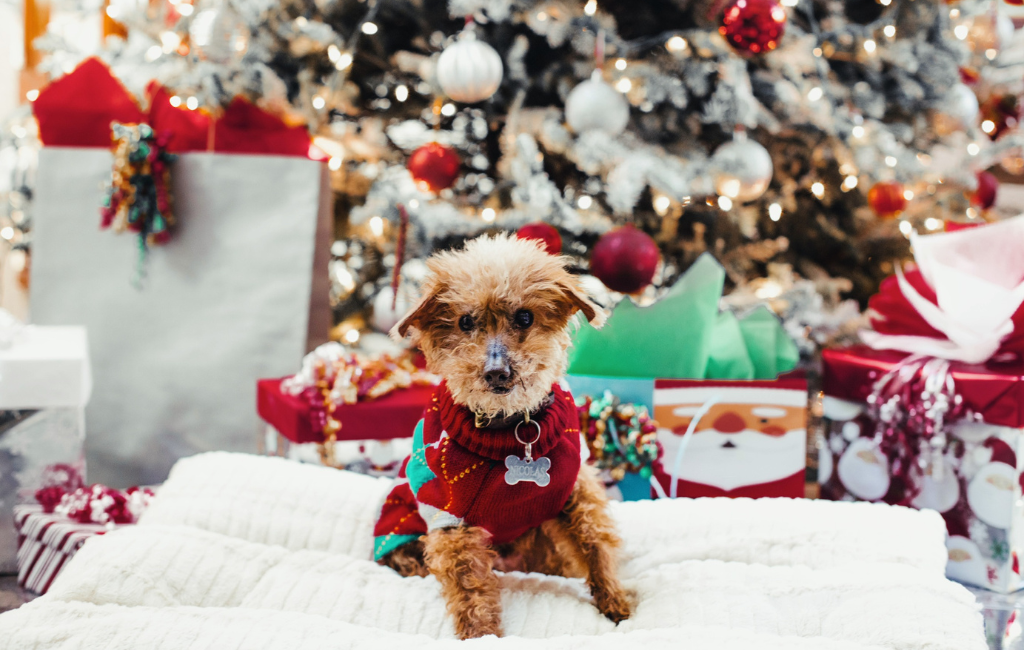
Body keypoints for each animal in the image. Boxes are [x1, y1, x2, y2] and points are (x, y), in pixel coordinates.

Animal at [374, 235, 630, 642]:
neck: (511, 428)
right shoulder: (448, 516)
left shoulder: (574, 491)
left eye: (524, 317)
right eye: (465, 321)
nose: (496, 371)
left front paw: (615, 601)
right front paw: (481, 634)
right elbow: (469, 585)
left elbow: (594, 543)